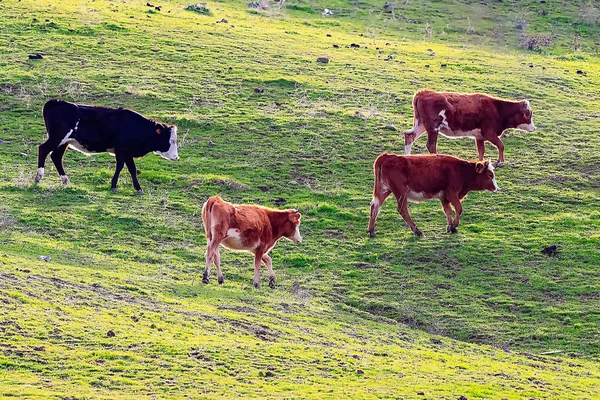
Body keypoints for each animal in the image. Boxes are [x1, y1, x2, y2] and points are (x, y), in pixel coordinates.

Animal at [35, 100, 178, 194]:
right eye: (170, 140)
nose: (176, 157)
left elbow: (132, 169)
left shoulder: (127, 153)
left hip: (64, 142)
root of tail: (55, 101)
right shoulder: (122, 150)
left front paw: (138, 188)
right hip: (57, 138)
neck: (135, 127)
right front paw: (114, 186)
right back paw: (39, 176)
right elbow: (121, 167)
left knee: (56, 157)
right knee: (43, 149)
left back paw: (65, 180)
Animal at [368, 153, 500, 238]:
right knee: (402, 209)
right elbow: (459, 208)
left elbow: (448, 211)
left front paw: (450, 227)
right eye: (490, 175)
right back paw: (417, 231)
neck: (461, 171)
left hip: (384, 190)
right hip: (400, 192)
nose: (497, 189)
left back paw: (371, 231)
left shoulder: (444, 197)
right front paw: (454, 226)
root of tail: (387, 156)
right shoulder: (451, 193)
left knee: (375, 206)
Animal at [404, 90, 536, 166]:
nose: (534, 128)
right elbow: (501, 145)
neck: (497, 109)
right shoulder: (488, 132)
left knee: (409, 136)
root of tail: (422, 93)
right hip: (433, 127)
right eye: (529, 114)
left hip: (421, 124)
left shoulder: (479, 136)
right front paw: (500, 162)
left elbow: (481, 150)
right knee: (431, 145)